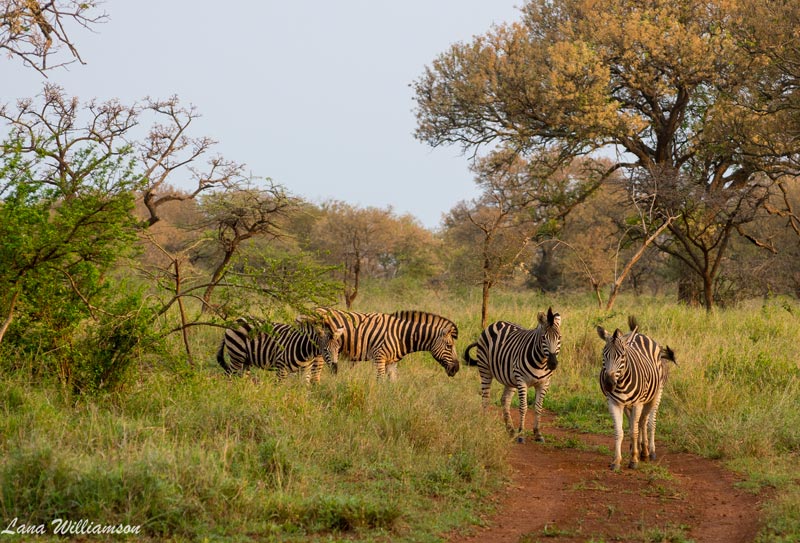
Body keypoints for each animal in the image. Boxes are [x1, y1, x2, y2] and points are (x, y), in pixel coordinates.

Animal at [216, 314, 344, 382]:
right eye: (325, 350)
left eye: (338, 350)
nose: (335, 370)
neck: (306, 352)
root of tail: (237, 319)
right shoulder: (281, 369)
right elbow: (279, 390)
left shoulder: (305, 371)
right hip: (237, 356)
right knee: (229, 375)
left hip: (246, 360)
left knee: (242, 378)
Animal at [316, 308, 460, 380]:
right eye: (449, 346)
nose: (457, 369)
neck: (400, 335)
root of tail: (315, 308)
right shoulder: (379, 358)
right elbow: (380, 380)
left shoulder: (391, 362)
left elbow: (392, 382)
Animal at [462, 308, 564, 444]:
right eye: (543, 338)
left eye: (559, 337)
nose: (552, 363)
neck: (541, 362)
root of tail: (497, 322)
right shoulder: (522, 381)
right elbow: (523, 407)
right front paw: (521, 434)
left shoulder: (544, 383)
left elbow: (538, 408)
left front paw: (538, 434)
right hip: (485, 370)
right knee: (485, 398)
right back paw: (485, 425)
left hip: (510, 378)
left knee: (505, 400)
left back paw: (510, 430)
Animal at [592, 318, 676, 472]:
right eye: (603, 355)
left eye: (622, 356)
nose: (608, 384)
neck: (621, 382)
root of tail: (639, 334)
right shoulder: (614, 403)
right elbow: (619, 432)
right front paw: (616, 461)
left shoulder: (638, 403)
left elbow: (634, 431)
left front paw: (634, 460)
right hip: (629, 404)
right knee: (637, 422)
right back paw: (638, 449)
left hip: (655, 395)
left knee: (647, 422)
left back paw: (648, 451)